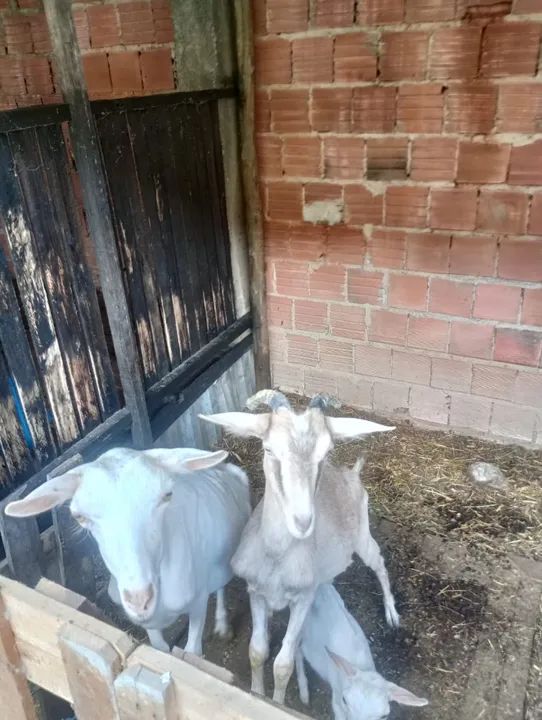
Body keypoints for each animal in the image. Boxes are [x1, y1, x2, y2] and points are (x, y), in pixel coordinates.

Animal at [5, 447, 251, 655]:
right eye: (79, 516)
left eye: (167, 495)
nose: (140, 599)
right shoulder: (148, 622)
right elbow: (160, 649)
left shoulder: (197, 599)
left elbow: (192, 651)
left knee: (220, 586)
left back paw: (223, 626)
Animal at [200, 391, 399, 703]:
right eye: (268, 448)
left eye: (326, 451)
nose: (303, 520)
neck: (276, 559)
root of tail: (351, 475)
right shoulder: (255, 591)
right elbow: (257, 651)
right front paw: (256, 693)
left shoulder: (303, 598)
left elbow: (283, 664)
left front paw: (277, 703)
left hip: (362, 537)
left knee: (378, 562)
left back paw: (392, 614)